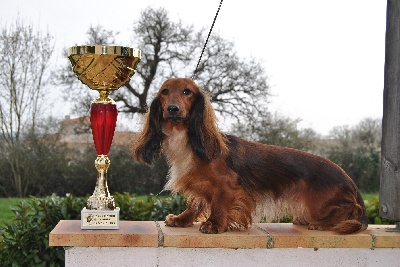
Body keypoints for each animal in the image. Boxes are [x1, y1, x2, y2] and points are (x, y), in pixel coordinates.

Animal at [132, 77, 368, 234]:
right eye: (164, 91)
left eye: (186, 92)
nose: (172, 109)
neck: (186, 141)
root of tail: (349, 180)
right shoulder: (201, 185)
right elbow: (195, 204)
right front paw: (182, 219)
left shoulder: (227, 186)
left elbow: (218, 204)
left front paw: (214, 224)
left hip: (319, 204)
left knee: (349, 209)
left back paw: (324, 222)